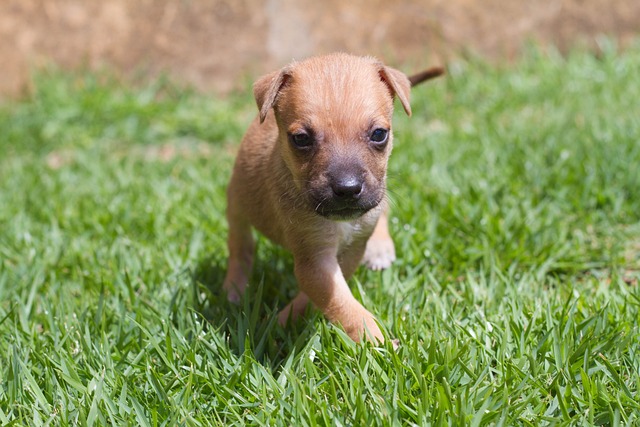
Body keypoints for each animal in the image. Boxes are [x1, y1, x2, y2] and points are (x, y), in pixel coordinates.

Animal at [222, 52, 442, 344]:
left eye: (379, 134)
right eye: (301, 139)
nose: (347, 189)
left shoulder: (351, 249)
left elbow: (335, 300)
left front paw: (284, 319)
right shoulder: (315, 259)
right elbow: (344, 306)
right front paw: (380, 342)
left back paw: (380, 246)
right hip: (237, 202)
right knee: (240, 245)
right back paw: (234, 287)